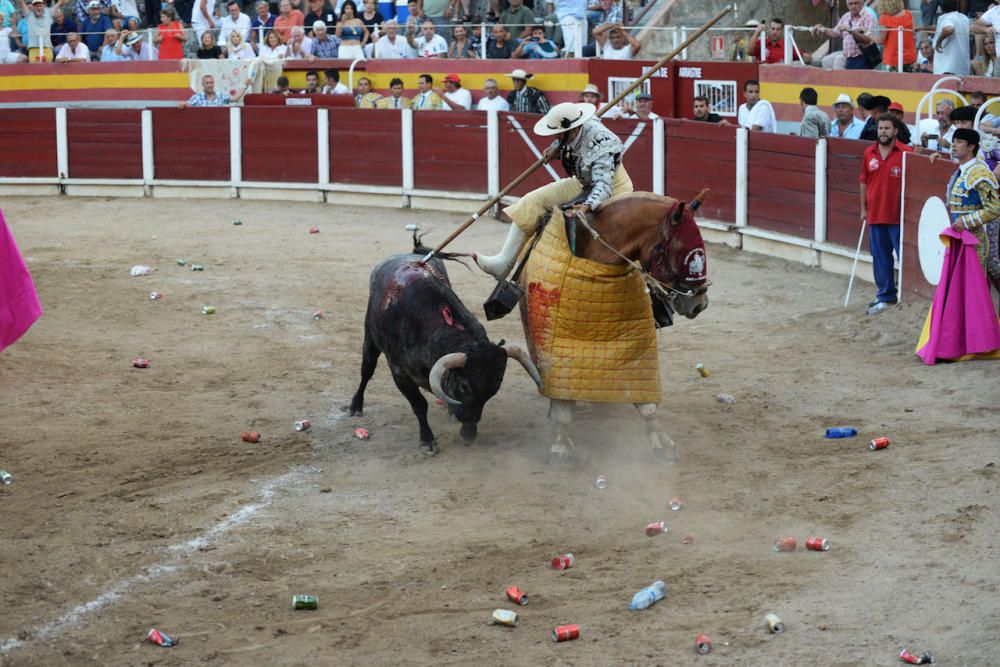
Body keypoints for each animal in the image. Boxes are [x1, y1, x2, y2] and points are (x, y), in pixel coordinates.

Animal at [350, 248, 544, 456]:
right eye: (464, 386)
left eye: (497, 383)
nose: (469, 431)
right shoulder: (399, 372)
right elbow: (419, 404)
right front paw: (428, 441)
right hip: (370, 337)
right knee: (366, 370)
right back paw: (355, 406)